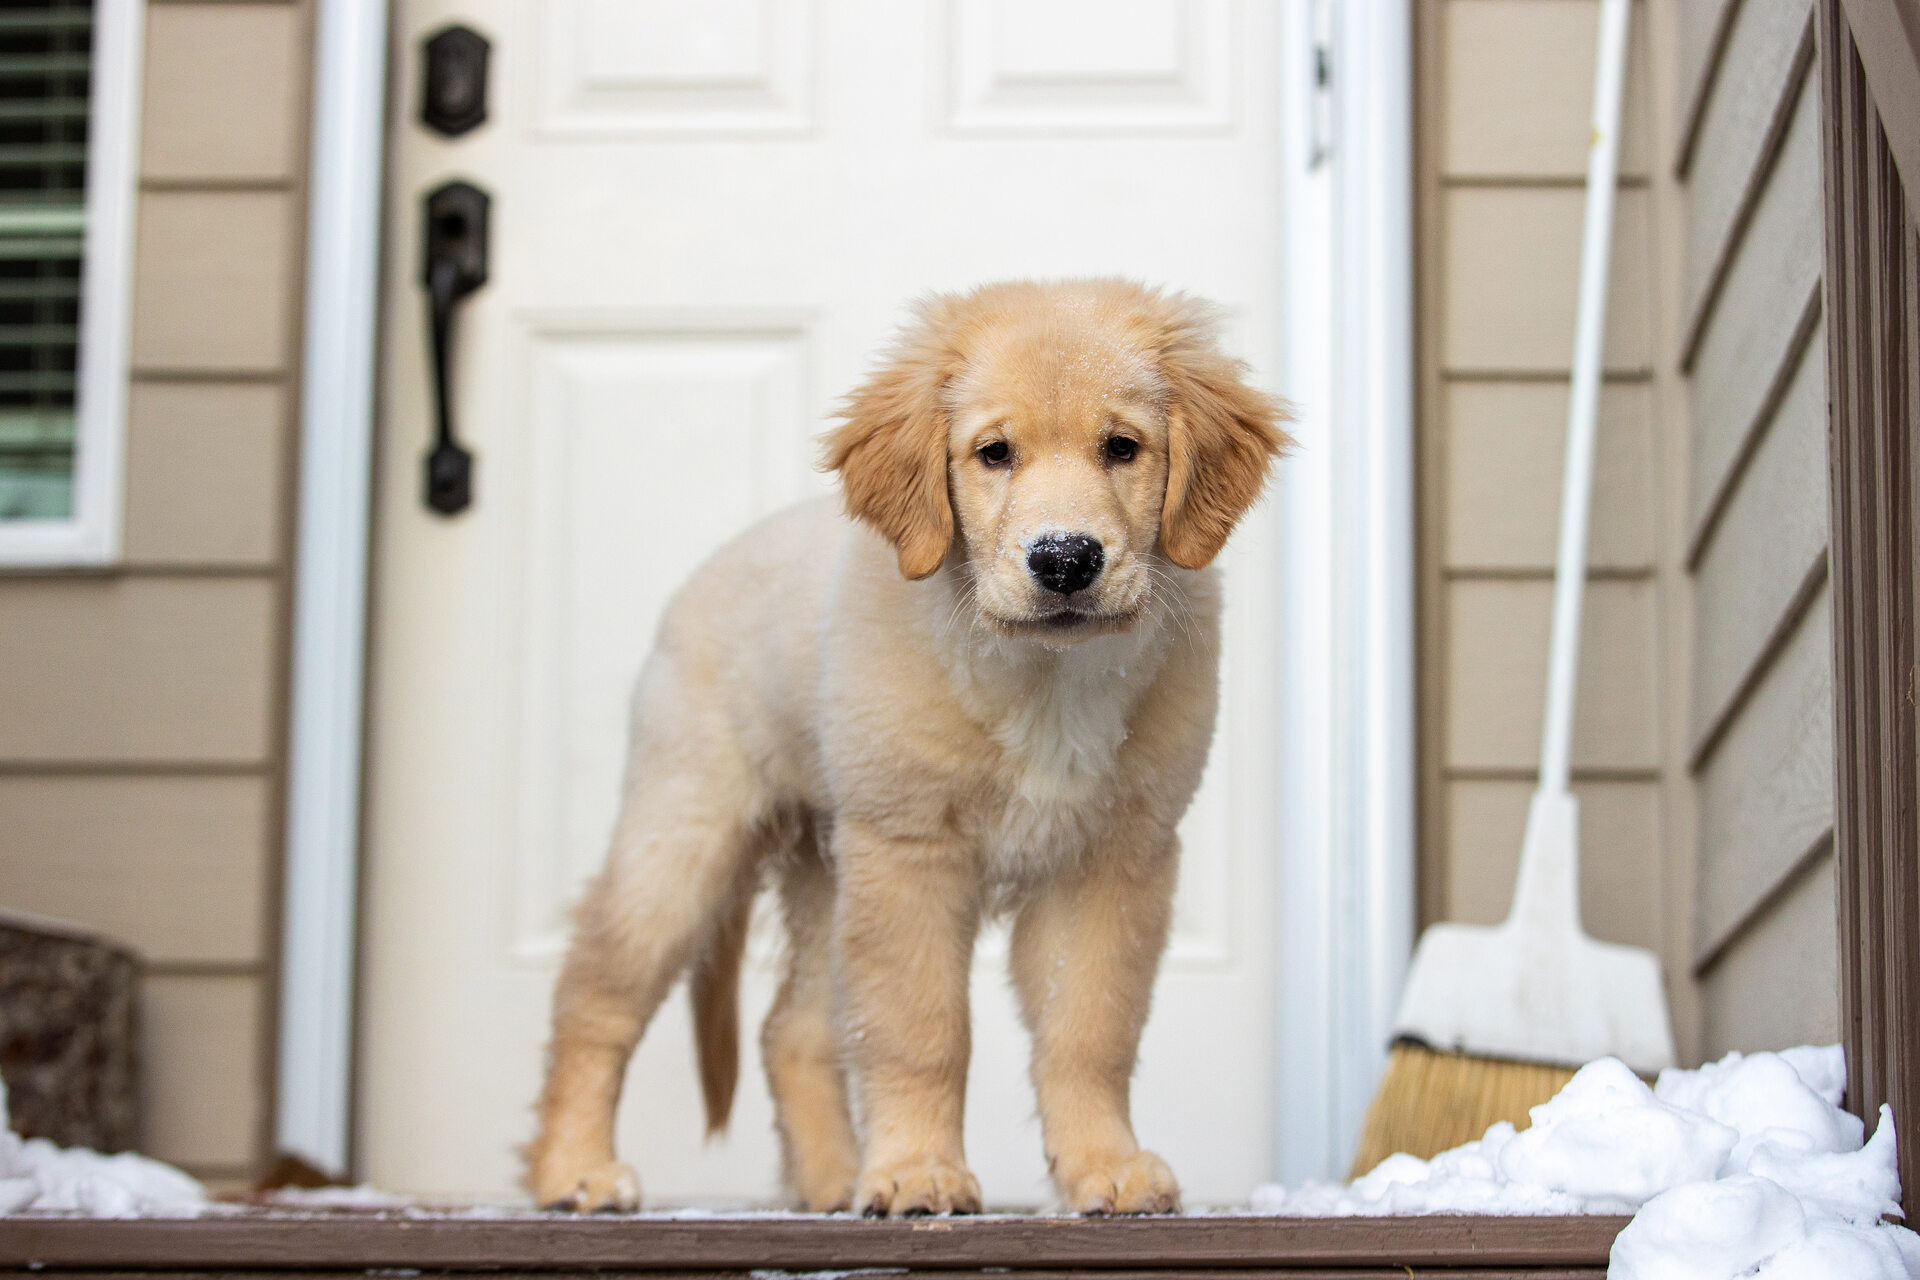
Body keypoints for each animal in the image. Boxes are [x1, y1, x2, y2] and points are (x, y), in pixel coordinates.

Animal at [522, 276, 1290, 1220]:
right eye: (994, 453)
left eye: (1122, 447)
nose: (1065, 559)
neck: (1043, 679)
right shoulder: (909, 849)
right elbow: (922, 1029)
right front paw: (922, 1173)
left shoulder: (1112, 858)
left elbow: (1089, 1029)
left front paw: (1104, 1166)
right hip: (685, 829)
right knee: (595, 992)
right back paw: (576, 1170)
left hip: (828, 866)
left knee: (792, 1030)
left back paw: (830, 1183)